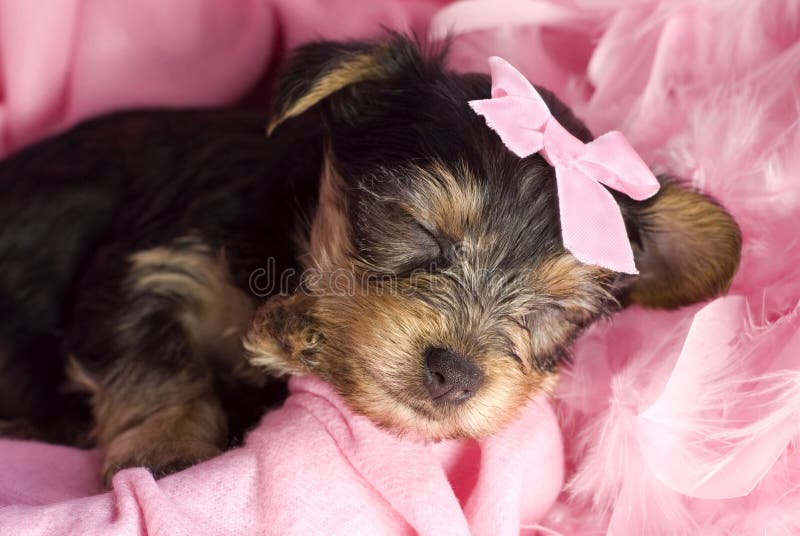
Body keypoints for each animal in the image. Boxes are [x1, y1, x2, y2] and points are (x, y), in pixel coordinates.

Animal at [0, 33, 740, 486]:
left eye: (555, 310)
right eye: (418, 229)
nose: (455, 375)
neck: (290, 242)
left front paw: (297, 338)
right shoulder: (154, 261)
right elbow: (154, 353)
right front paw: (167, 451)